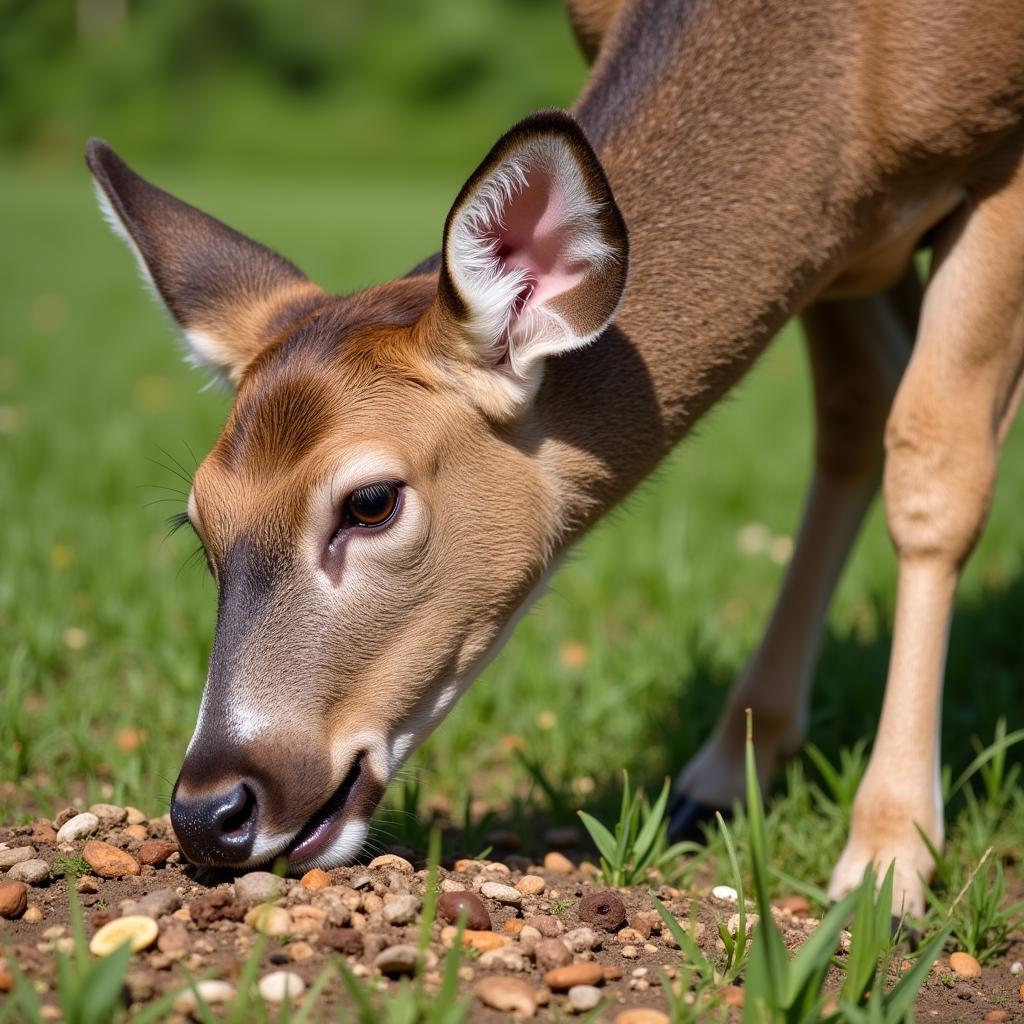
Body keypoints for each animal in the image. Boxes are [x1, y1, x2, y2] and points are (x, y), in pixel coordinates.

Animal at [88, 0, 1024, 913]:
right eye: (198, 522)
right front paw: (729, 771)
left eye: (371, 502)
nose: (211, 810)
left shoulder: (996, 161)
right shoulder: (834, 239)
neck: (862, 76)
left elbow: (933, 469)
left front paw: (886, 861)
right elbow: (857, 411)